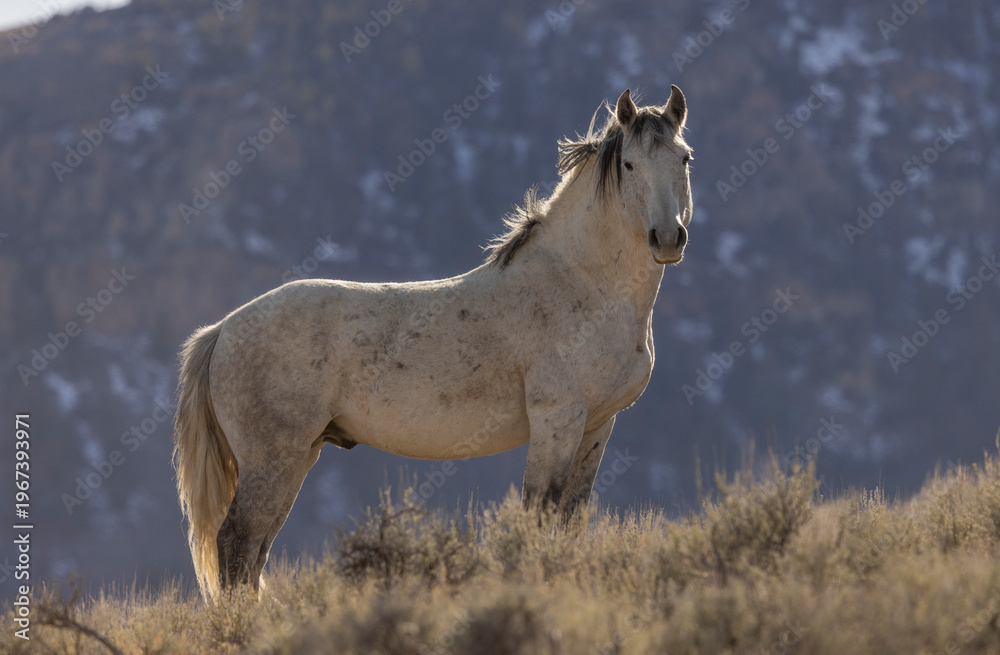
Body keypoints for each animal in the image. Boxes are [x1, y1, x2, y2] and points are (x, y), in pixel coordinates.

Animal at [173, 85, 694, 601]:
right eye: (629, 164)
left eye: (684, 157)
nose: (667, 239)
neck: (578, 280)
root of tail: (222, 331)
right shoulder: (557, 421)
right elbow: (538, 515)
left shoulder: (597, 425)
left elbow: (569, 521)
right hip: (272, 459)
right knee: (237, 542)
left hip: (298, 455)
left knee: (255, 550)